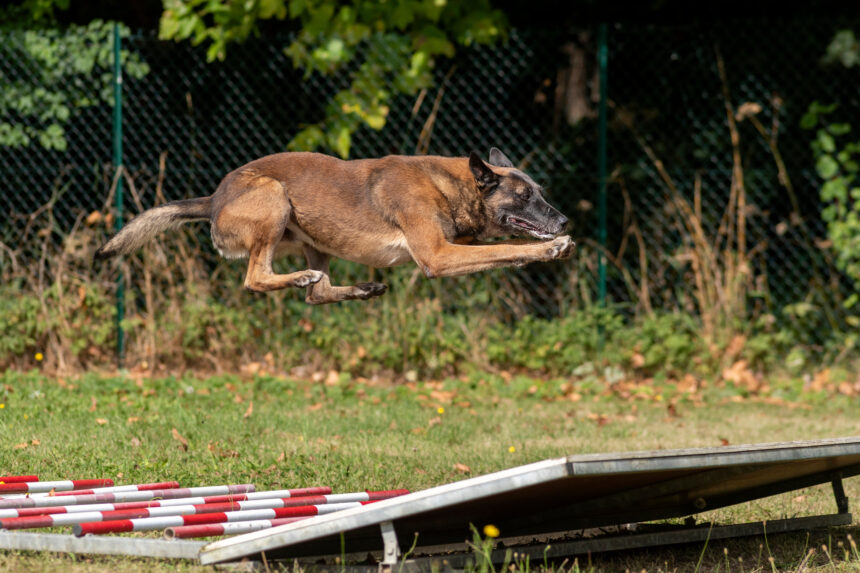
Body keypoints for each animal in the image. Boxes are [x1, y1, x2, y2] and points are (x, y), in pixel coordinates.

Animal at [95, 147, 572, 304]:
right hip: (274, 198)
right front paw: (550, 248)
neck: (450, 185)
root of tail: (215, 198)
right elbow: (503, 250)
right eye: (525, 197)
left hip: (316, 238)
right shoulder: (438, 256)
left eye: (541, 191)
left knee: (317, 294)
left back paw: (359, 288)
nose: (565, 219)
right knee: (256, 278)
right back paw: (300, 277)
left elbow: (497, 251)